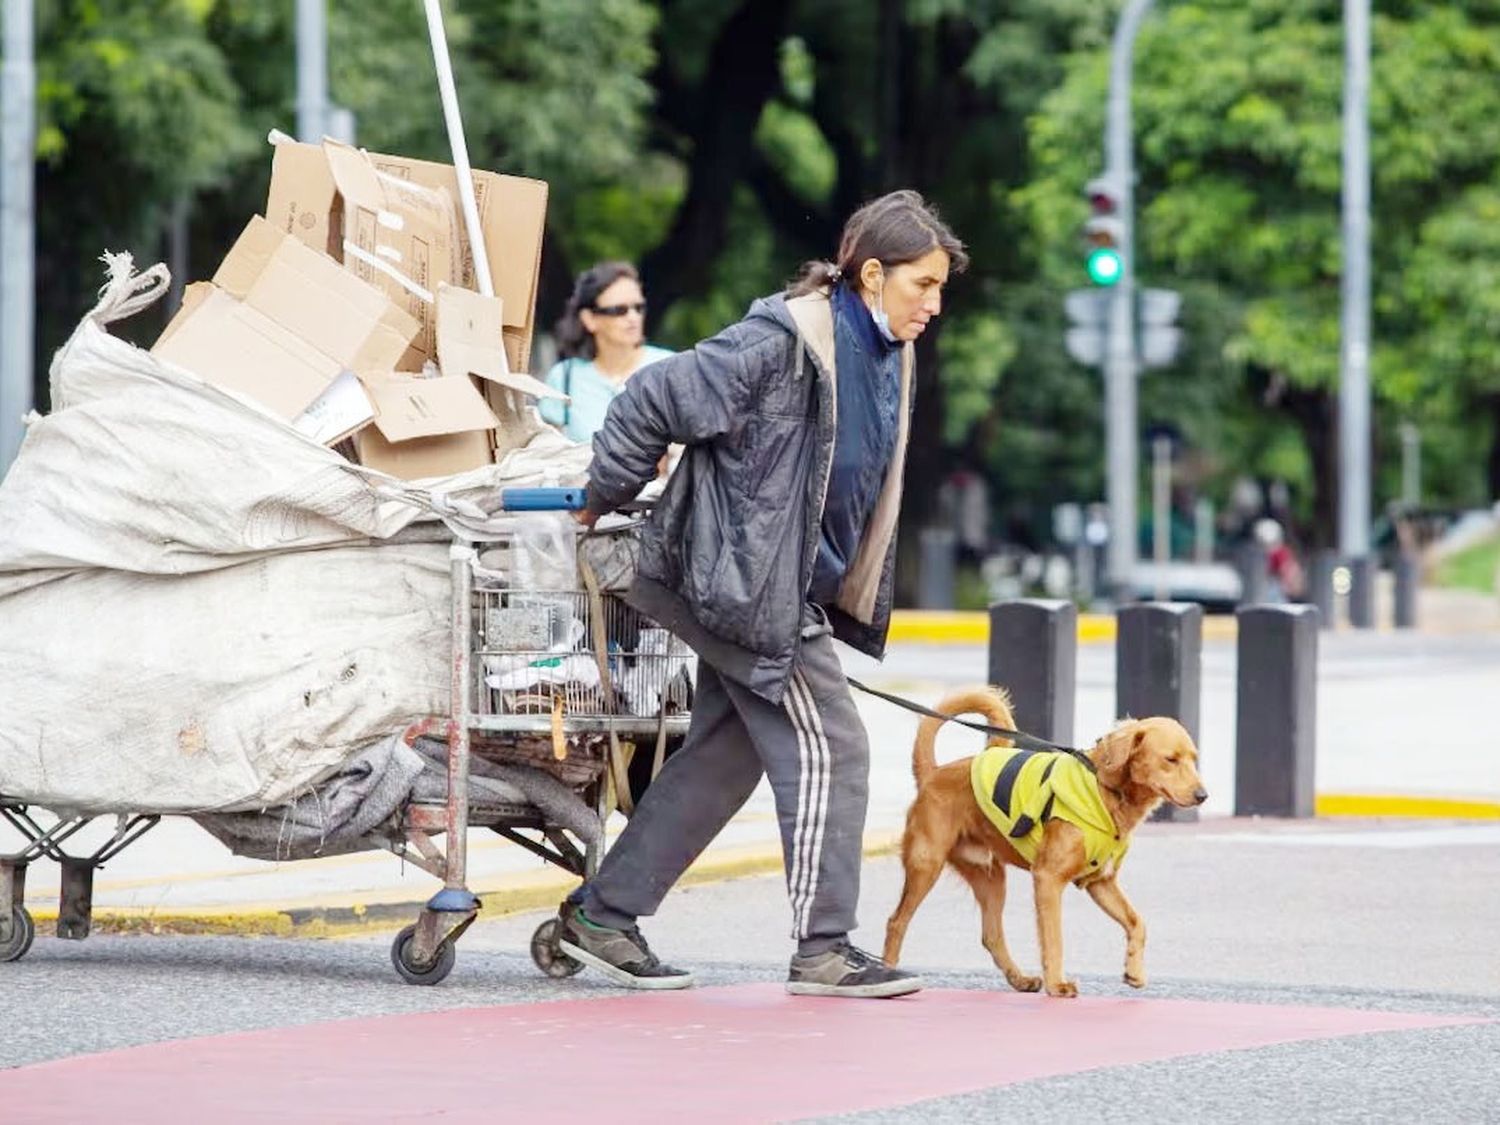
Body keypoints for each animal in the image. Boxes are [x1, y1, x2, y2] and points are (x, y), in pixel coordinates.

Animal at [876, 693, 1206, 1002]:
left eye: (1193, 759)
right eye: (1171, 759)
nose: (1203, 795)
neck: (1105, 789)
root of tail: (933, 772)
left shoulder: (1101, 883)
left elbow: (1138, 923)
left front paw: (1134, 970)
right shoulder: (1048, 878)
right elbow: (1054, 938)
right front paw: (1057, 985)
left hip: (991, 878)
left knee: (991, 935)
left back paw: (1020, 979)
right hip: (926, 864)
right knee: (896, 922)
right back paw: (888, 972)